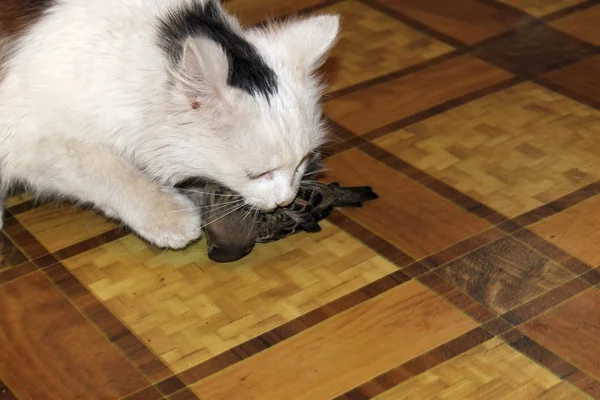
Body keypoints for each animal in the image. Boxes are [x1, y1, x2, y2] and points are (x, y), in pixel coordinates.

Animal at [0, 0, 338, 248]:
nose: (286, 200)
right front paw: (168, 217)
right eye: (258, 174)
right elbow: (109, 172)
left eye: (302, 163)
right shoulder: (30, 140)